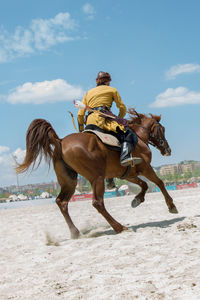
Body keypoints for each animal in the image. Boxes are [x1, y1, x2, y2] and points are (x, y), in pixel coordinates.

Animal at [16, 110, 178, 239]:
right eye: (162, 129)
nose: (168, 149)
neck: (139, 138)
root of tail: (60, 141)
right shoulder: (145, 168)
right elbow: (159, 182)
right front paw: (171, 206)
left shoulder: (128, 174)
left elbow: (144, 185)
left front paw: (137, 200)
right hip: (97, 178)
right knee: (97, 203)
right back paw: (119, 227)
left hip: (70, 182)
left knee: (61, 202)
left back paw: (75, 232)